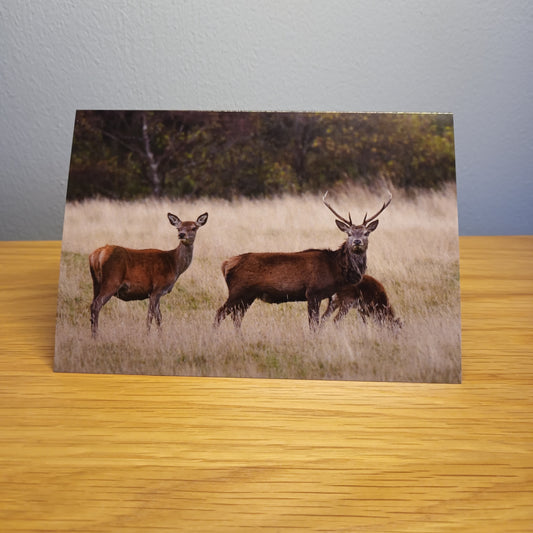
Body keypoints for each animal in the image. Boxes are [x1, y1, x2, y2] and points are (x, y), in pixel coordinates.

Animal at [214, 193, 392, 328]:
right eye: (348, 233)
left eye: (366, 233)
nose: (357, 242)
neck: (335, 269)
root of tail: (226, 264)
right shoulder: (313, 292)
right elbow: (313, 325)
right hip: (238, 291)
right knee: (219, 313)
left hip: (248, 295)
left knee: (236, 317)